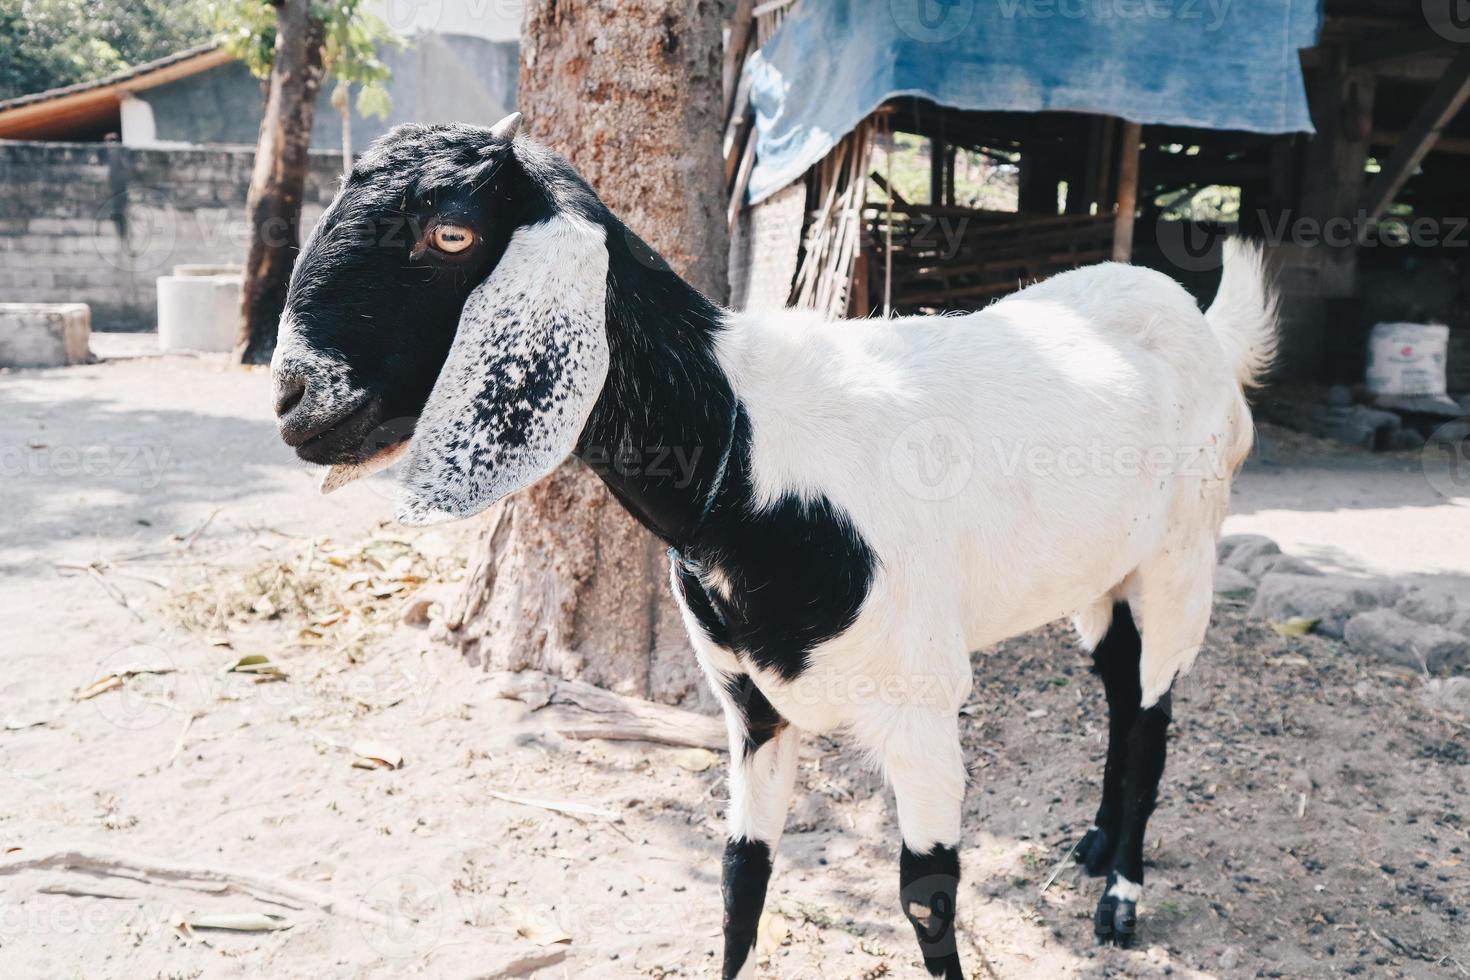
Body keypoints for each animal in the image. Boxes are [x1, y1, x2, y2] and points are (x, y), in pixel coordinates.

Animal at [273, 113, 1275, 975]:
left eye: (450, 235)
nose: (294, 399)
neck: (743, 451)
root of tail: (1191, 317)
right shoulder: (749, 704)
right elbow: (739, 882)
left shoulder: (920, 704)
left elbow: (926, 898)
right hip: (1099, 577)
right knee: (1119, 688)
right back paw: (1099, 841)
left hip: (1183, 557)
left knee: (1154, 712)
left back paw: (1121, 897)